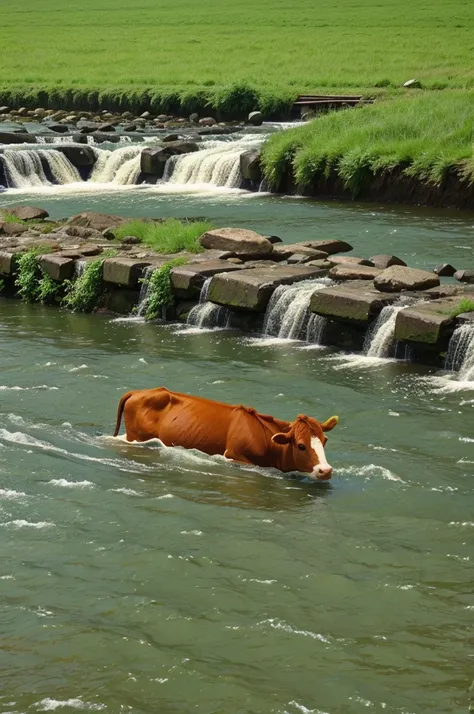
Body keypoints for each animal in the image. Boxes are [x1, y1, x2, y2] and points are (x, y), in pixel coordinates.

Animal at [113, 386, 338, 482]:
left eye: (324, 441)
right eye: (301, 445)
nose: (326, 471)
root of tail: (139, 391)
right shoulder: (234, 456)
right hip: (135, 437)